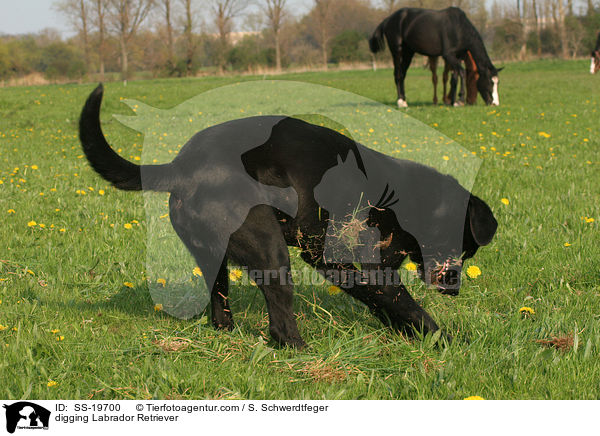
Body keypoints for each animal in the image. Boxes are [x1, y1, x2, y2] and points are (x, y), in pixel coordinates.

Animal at [370, 7, 502, 107]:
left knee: (402, 74)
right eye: (490, 82)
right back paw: (400, 102)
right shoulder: (448, 56)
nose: (494, 103)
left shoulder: (458, 56)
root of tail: (388, 19)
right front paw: (459, 100)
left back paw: (404, 100)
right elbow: (462, 73)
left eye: (497, 83)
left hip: (408, 53)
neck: (458, 28)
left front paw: (452, 101)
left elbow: (454, 77)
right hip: (397, 51)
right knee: (398, 74)